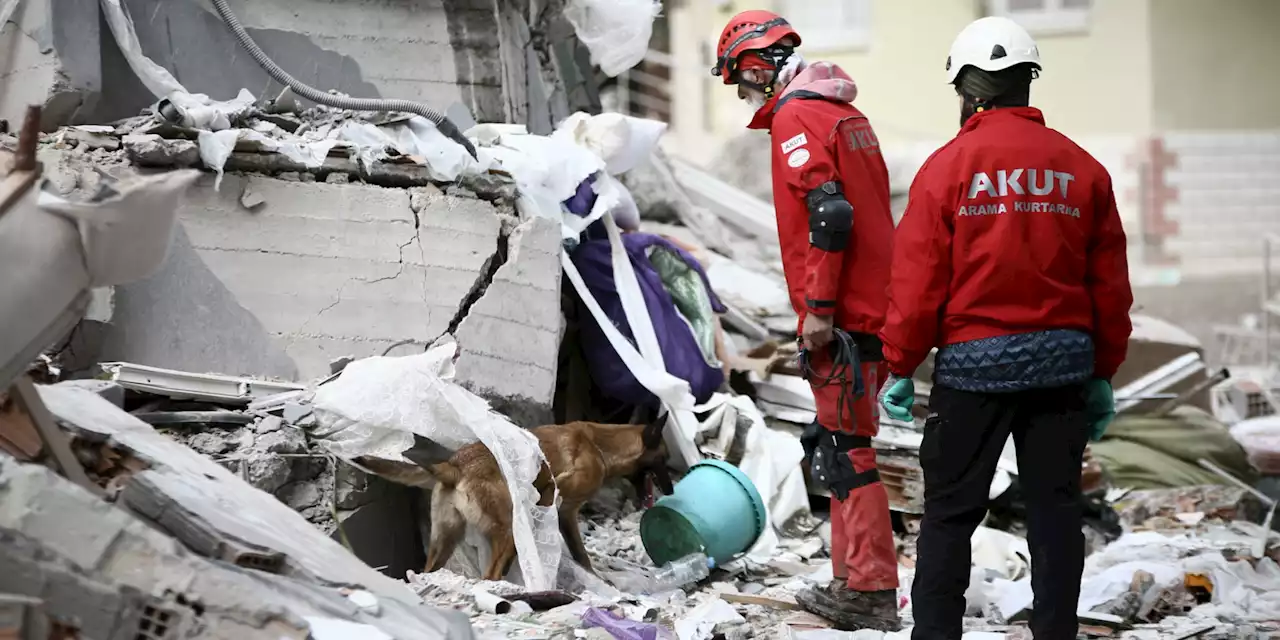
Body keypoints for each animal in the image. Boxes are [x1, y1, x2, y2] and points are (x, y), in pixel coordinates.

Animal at [371, 419, 675, 581]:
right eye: (664, 459)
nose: (672, 490)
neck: (601, 444)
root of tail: (455, 465)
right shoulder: (560, 501)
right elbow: (581, 553)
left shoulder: (563, 514)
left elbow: (580, 554)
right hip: (509, 529)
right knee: (491, 573)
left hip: (445, 539)